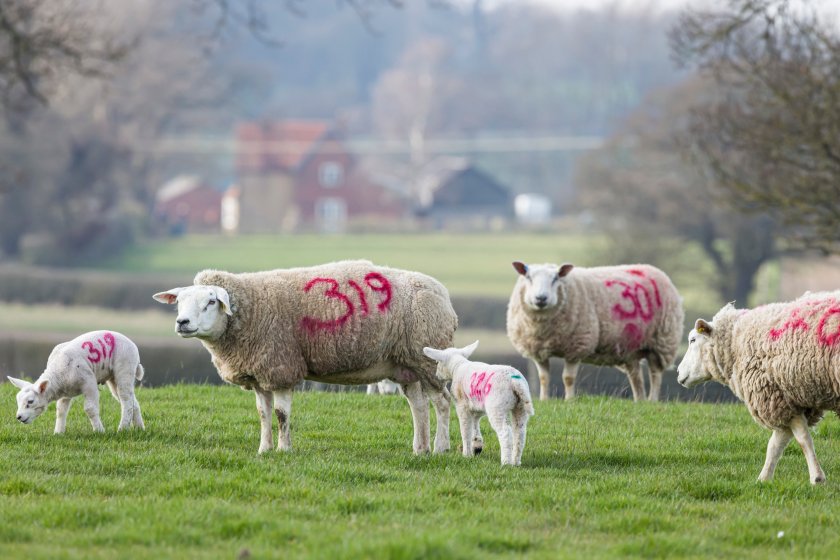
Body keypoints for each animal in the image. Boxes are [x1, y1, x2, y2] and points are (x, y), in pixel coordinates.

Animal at [7, 330, 145, 433]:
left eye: (30, 402)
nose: (19, 417)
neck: (56, 375)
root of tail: (131, 343)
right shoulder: (65, 391)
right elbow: (61, 411)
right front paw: (58, 433)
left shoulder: (89, 383)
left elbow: (90, 409)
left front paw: (99, 431)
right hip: (113, 378)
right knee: (132, 401)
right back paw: (139, 428)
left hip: (125, 368)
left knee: (126, 399)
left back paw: (123, 428)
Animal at [153, 260, 458, 455]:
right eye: (179, 303)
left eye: (211, 302)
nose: (182, 322)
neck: (251, 312)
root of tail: (443, 294)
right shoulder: (259, 373)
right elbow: (263, 414)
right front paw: (264, 449)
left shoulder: (280, 366)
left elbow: (281, 414)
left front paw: (284, 450)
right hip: (405, 365)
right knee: (419, 406)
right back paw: (420, 449)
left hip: (429, 359)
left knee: (442, 403)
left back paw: (440, 448)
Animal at [507, 261, 684, 401]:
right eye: (528, 277)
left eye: (555, 278)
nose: (541, 298)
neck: (543, 330)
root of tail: (653, 269)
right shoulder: (538, 350)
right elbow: (543, 378)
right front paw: (544, 400)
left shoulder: (577, 346)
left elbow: (568, 378)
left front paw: (569, 400)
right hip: (631, 347)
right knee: (636, 376)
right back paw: (639, 401)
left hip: (662, 341)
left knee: (655, 374)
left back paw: (652, 400)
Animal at [677, 293, 840, 484]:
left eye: (692, 340)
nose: (678, 372)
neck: (736, 344)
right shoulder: (786, 401)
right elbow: (775, 445)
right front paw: (763, 480)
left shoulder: (775, 396)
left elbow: (802, 440)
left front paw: (816, 478)